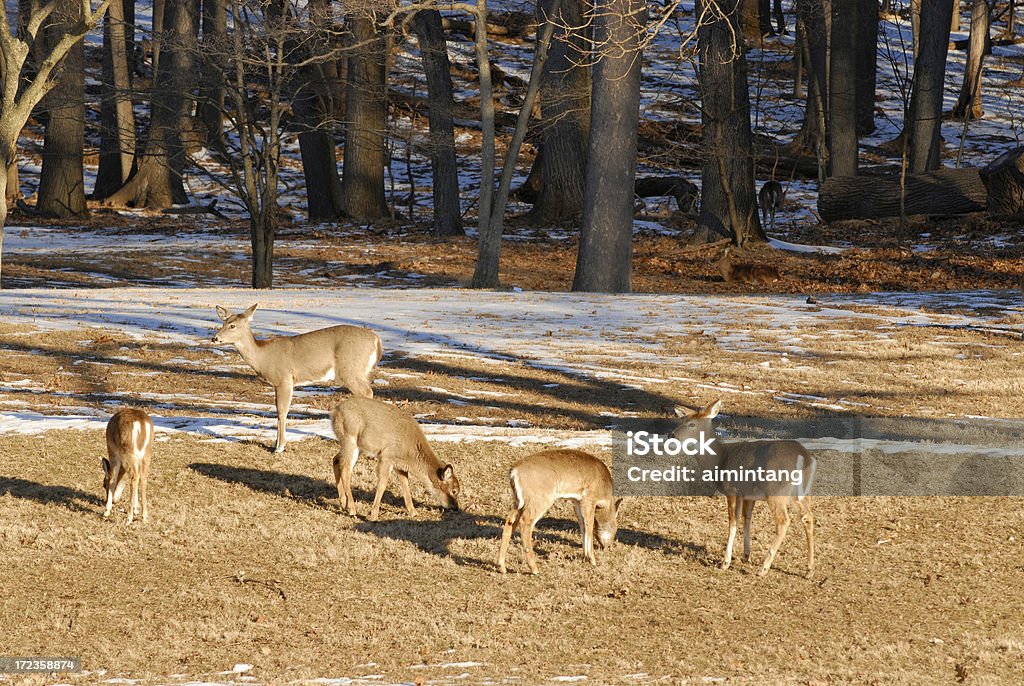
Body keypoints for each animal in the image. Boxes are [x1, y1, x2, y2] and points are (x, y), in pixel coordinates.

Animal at [212, 303, 385, 454]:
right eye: (223, 322)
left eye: (233, 326)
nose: (215, 338)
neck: (263, 356)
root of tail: (376, 339)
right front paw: (276, 444)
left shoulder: (284, 380)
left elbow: (282, 411)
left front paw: (279, 447)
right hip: (359, 372)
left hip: (350, 370)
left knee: (367, 392)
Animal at [331, 397, 460, 522]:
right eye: (454, 490)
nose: (456, 508)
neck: (411, 454)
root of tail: (335, 411)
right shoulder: (386, 457)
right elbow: (382, 484)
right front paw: (374, 516)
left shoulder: (399, 465)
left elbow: (405, 485)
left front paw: (413, 512)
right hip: (350, 438)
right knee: (345, 470)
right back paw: (352, 509)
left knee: (336, 460)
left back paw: (343, 502)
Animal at [671, 401, 815, 577]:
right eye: (681, 420)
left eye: (692, 424)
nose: (671, 435)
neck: (720, 460)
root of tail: (804, 457)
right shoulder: (748, 495)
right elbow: (747, 519)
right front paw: (746, 555)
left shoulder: (732, 490)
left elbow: (733, 521)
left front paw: (725, 562)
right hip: (802, 492)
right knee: (808, 516)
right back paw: (809, 570)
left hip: (776, 491)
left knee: (783, 521)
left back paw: (763, 568)